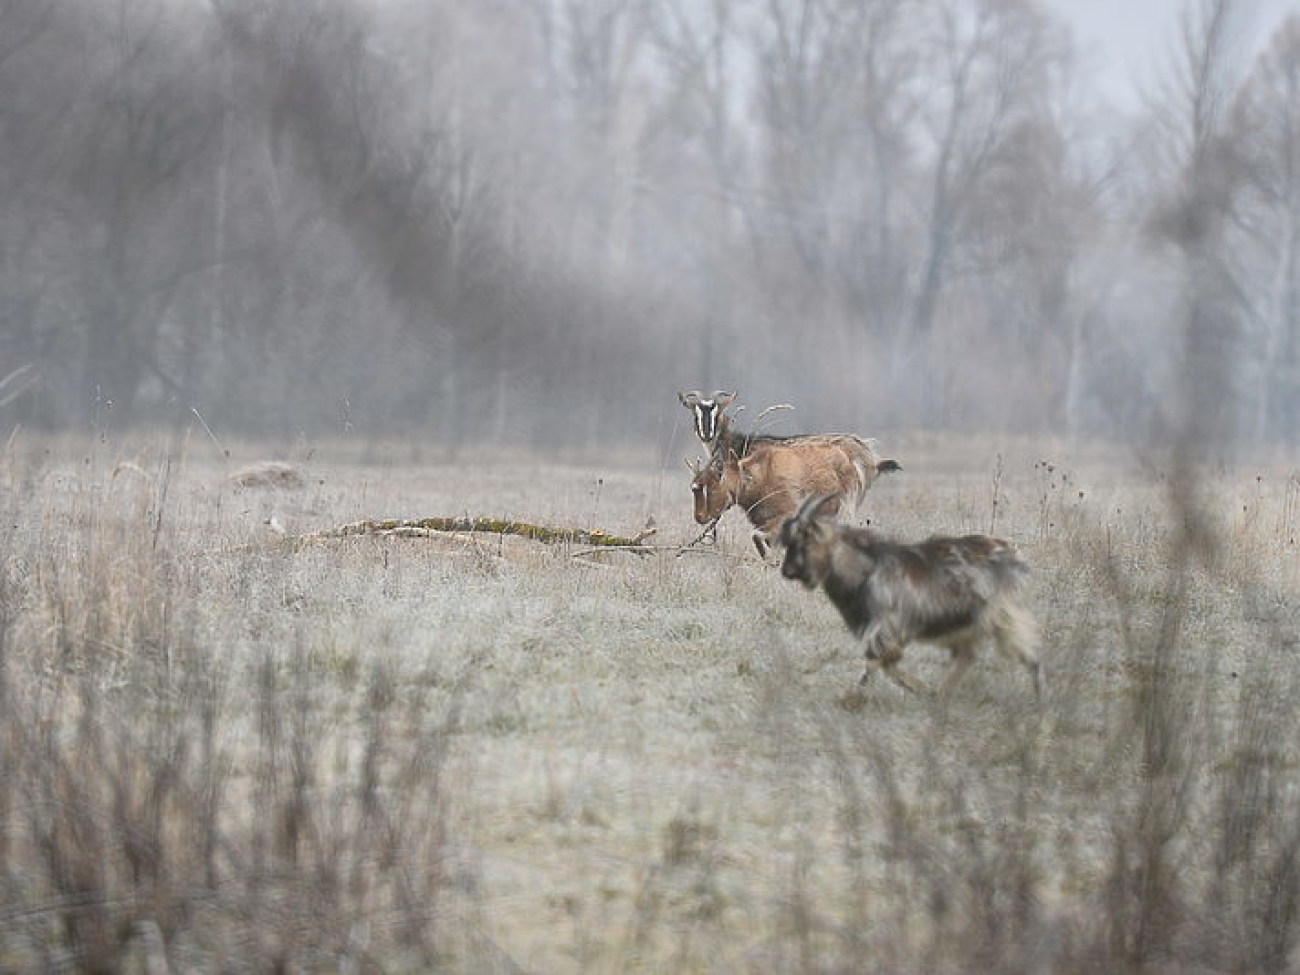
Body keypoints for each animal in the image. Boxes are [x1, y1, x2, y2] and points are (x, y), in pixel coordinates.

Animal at [691, 439, 904, 561]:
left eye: (711, 486)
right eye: (695, 488)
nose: (699, 517)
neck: (758, 478)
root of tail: (854, 461)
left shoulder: (787, 515)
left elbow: (757, 536)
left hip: (845, 508)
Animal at [774, 496, 1040, 702]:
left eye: (804, 539)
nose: (787, 571)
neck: (867, 568)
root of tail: (1013, 554)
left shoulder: (888, 628)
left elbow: (878, 663)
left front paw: (854, 699)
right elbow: (885, 665)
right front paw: (926, 691)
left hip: (1006, 617)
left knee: (1031, 658)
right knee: (967, 657)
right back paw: (943, 697)